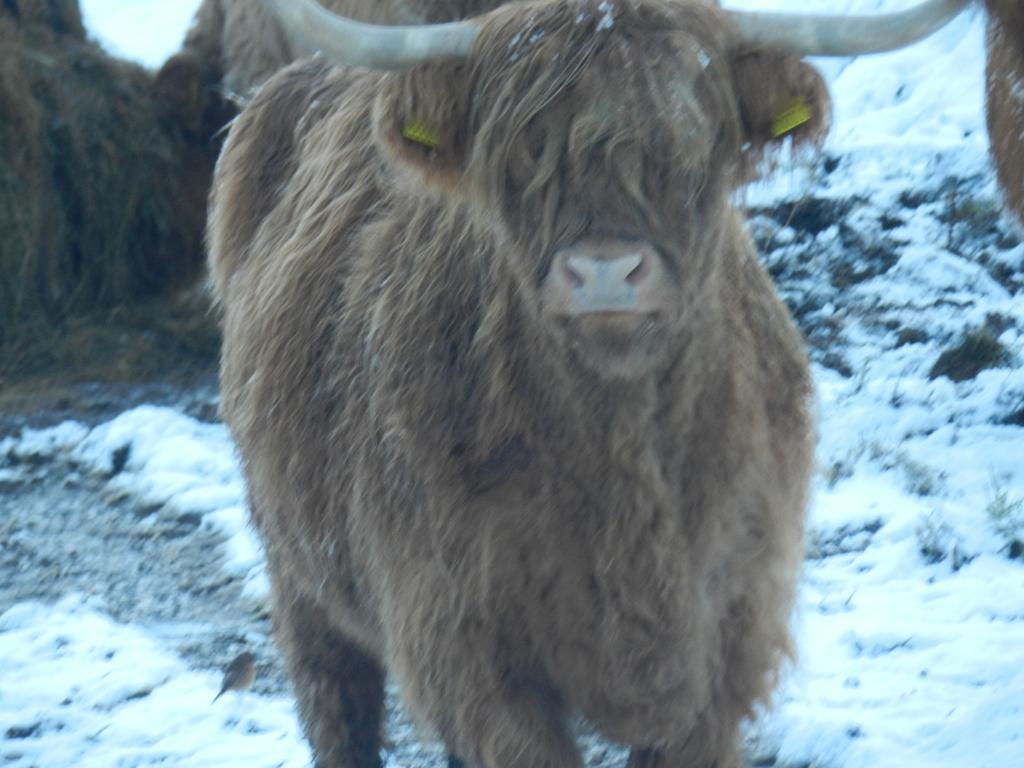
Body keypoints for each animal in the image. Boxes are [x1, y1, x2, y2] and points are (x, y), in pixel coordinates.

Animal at [209, 1, 966, 768]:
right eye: (523, 149)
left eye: (692, 140)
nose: (605, 273)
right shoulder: (469, 651)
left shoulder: (728, 638)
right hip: (298, 568)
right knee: (336, 696)